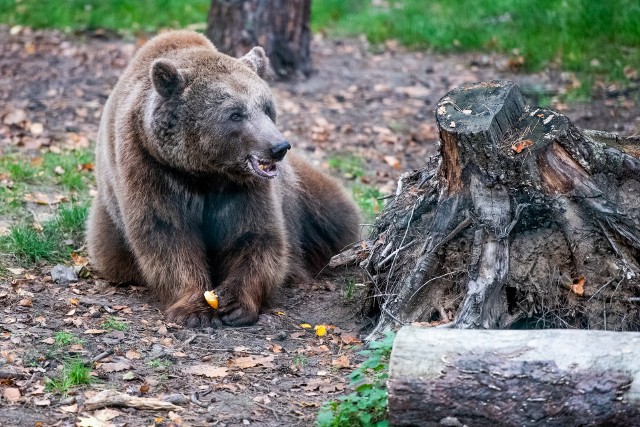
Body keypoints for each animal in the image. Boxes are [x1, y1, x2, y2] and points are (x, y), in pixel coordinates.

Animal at [86, 30, 360, 328]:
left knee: (336, 216)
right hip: (109, 229)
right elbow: (166, 234)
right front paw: (193, 308)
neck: (203, 170)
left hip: (303, 196)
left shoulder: (243, 187)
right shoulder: (150, 168)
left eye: (266, 107)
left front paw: (234, 304)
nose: (278, 147)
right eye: (235, 113)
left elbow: (254, 234)